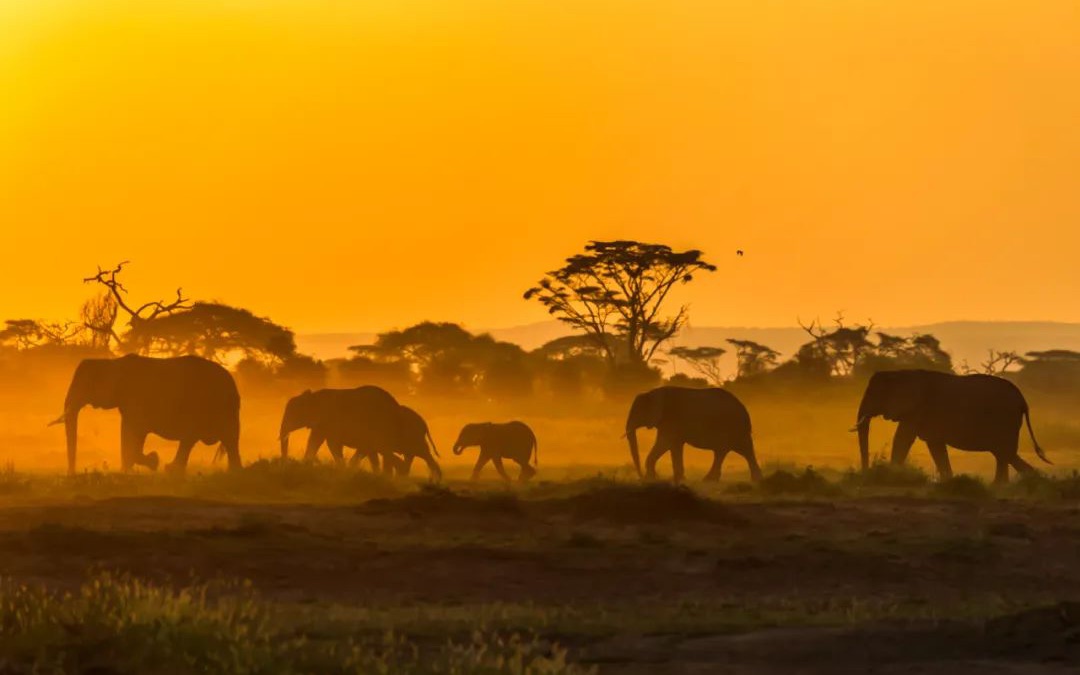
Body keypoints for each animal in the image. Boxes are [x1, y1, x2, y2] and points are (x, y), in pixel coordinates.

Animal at [49, 352, 241, 473]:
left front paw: (152, 462)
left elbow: (134, 430)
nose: (72, 474)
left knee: (196, 437)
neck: (112, 362)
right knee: (225, 440)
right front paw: (127, 472)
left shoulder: (135, 398)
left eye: (85, 385)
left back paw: (171, 470)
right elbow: (129, 431)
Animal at [622, 384, 764, 483]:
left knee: (724, 451)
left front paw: (651, 478)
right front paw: (678, 479)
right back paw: (757, 479)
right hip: (736, 429)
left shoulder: (671, 418)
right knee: (742, 450)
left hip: (730, 426)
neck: (651, 392)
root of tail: (744, 409)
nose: (639, 478)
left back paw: (708, 480)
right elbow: (675, 445)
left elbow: (664, 443)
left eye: (637, 412)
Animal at [851, 369, 1045, 483]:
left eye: (874, 394)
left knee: (1005, 453)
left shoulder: (916, 409)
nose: (865, 473)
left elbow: (903, 438)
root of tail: (1023, 400)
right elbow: (935, 446)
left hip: (1005, 419)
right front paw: (948, 481)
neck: (899, 373)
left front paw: (892, 475)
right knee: (1004, 454)